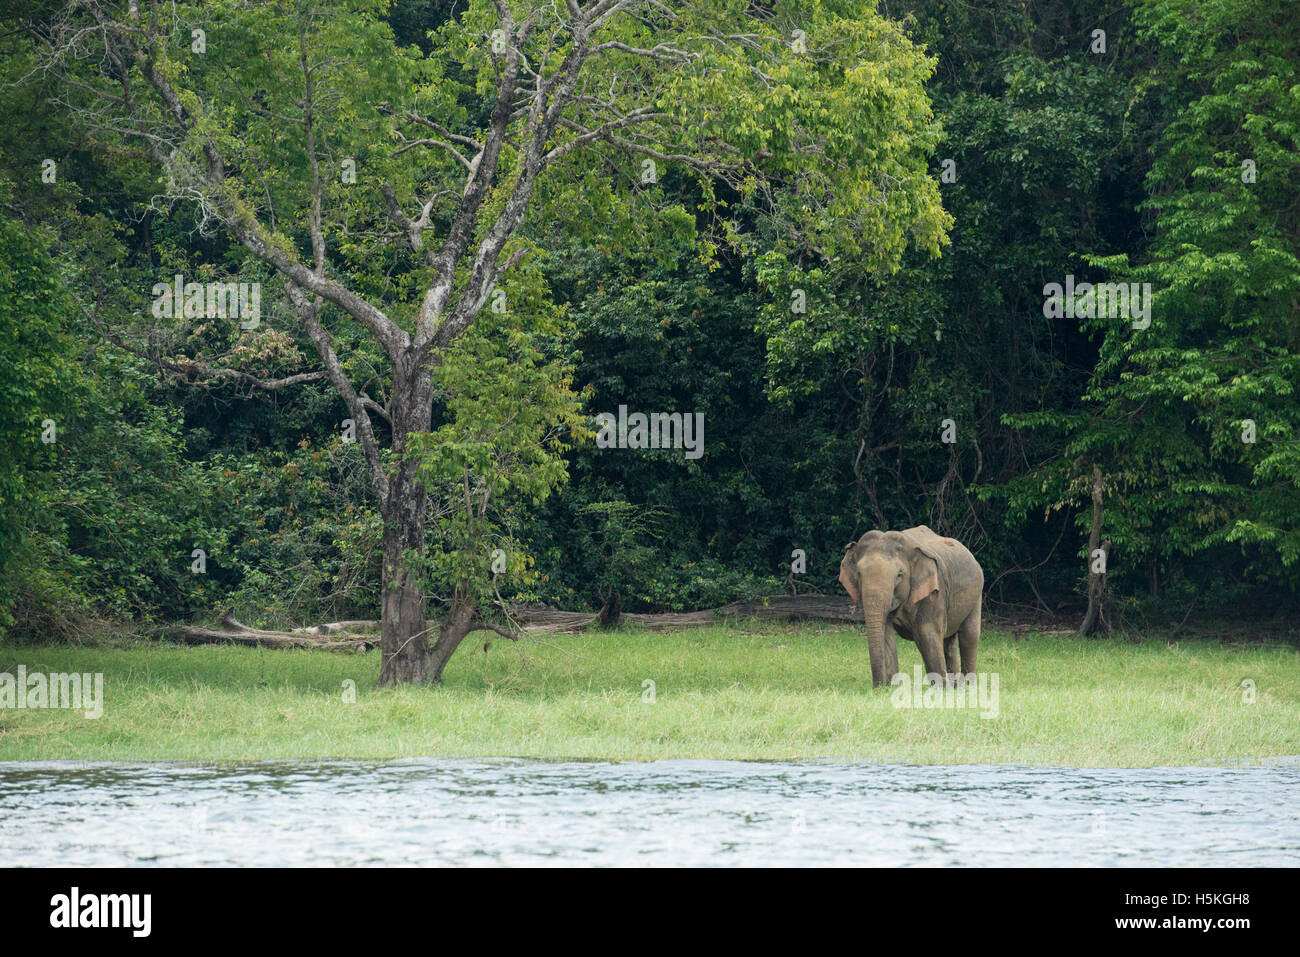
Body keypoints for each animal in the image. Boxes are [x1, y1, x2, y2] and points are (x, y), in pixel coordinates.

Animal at [838, 525, 983, 688]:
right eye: (858, 573)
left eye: (899, 575)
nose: (877, 686)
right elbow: (886, 632)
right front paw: (891, 687)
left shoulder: (935, 591)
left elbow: (927, 632)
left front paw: (941, 688)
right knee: (949, 640)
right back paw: (957, 684)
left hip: (977, 594)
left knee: (969, 634)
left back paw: (967, 685)